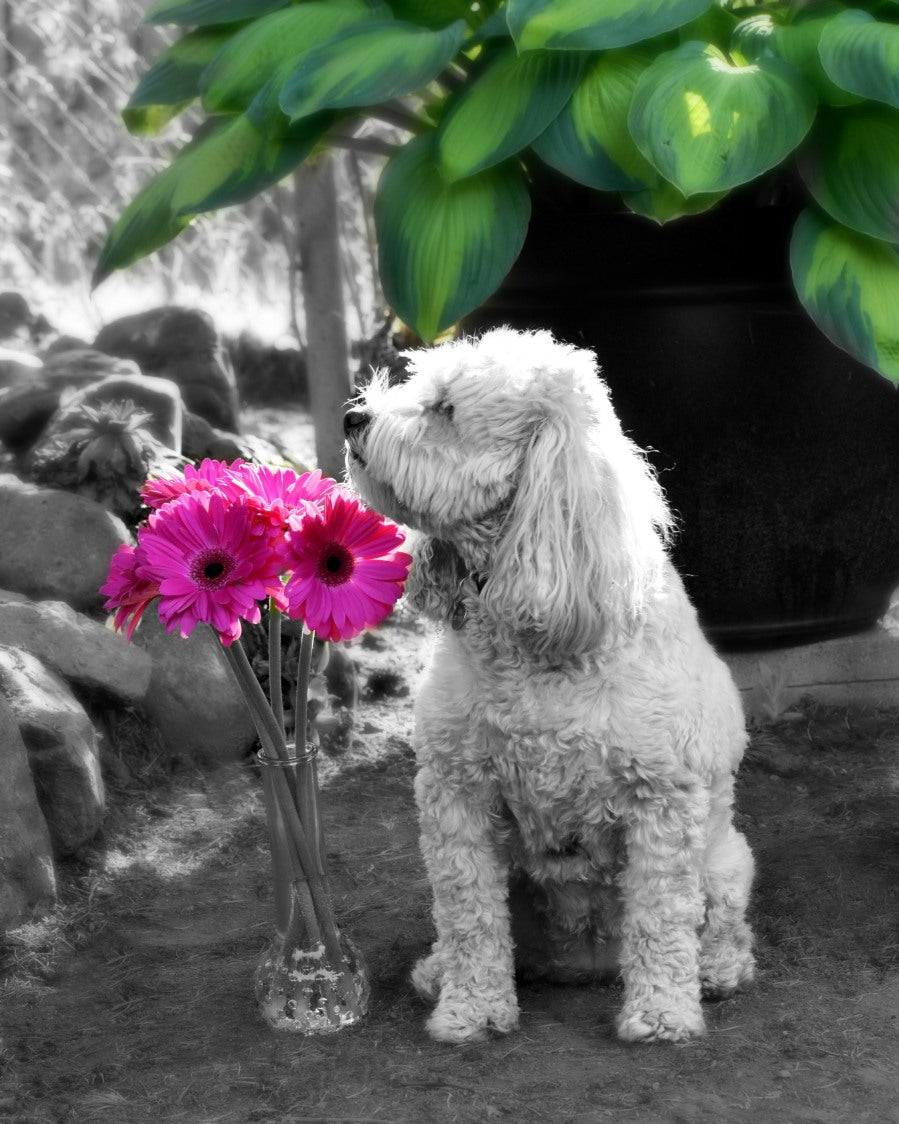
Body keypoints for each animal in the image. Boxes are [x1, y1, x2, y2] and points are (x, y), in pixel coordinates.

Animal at [348, 325, 755, 1043]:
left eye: (445, 410)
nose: (350, 418)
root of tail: (584, 962)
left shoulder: (663, 802)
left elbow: (660, 919)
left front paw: (661, 1014)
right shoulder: (455, 792)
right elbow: (469, 914)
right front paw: (471, 1009)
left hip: (727, 860)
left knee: (720, 927)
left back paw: (717, 971)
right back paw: (438, 969)